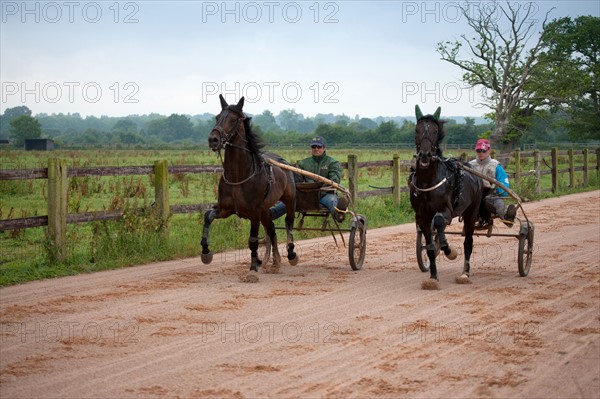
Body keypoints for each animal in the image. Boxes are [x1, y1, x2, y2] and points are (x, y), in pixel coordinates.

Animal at [200, 94, 298, 276]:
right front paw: (206, 252)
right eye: (217, 117)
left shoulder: (254, 213)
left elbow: (252, 240)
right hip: (265, 209)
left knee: (288, 223)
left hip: (289, 200)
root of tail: (284, 163)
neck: (238, 176)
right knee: (272, 230)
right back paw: (275, 261)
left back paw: (291, 253)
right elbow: (208, 216)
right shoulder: (225, 209)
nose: (213, 139)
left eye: (233, 119)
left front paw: (253, 267)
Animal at [408, 104, 482, 290]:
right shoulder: (421, 217)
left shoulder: (447, 210)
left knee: (468, 242)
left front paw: (449, 251)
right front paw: (433, 277)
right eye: (417, 129)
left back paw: (465, 274)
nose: (425, 155)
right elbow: (429, 246)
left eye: (435, 130)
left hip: (472, 212)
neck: (427, 183)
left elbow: (440, 221)